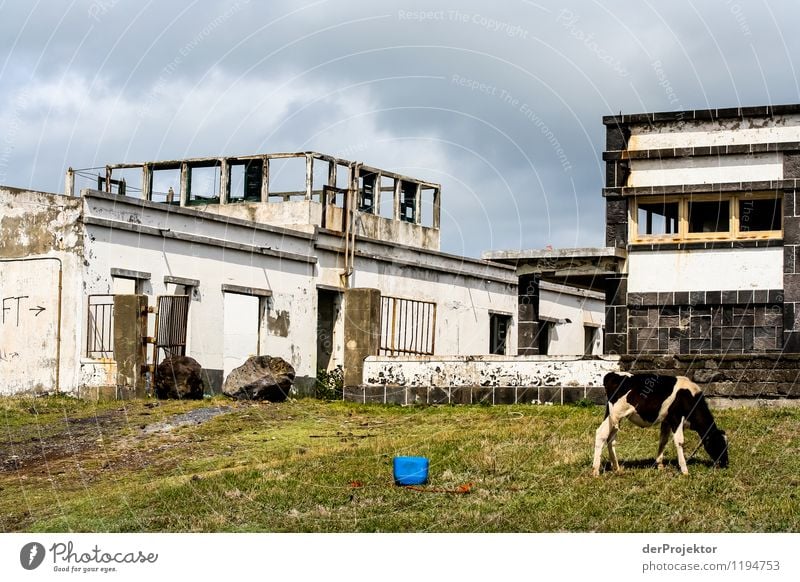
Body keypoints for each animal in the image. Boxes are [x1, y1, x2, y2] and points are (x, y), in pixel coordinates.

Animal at [592, 376, 728, 476]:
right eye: (719, 444)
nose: (726, 463)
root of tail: (612, 375)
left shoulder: (666, 421)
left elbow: (663, 440)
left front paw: (660, 465)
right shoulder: (676, 418)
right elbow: (679, 441)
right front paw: (684, 470)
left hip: (614, 417)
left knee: (611, 439)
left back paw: (617, 468)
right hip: (615, 413)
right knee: (601, 434)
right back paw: (596, 471)